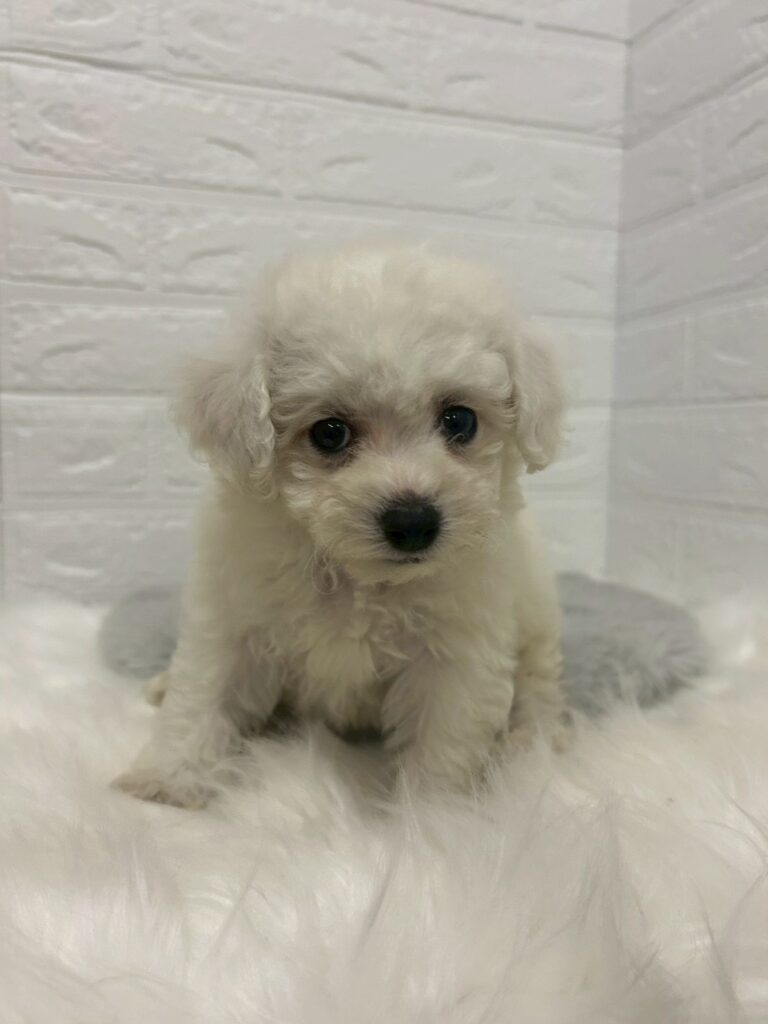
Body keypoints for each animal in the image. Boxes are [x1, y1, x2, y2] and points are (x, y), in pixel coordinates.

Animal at [114, 242, 568, 808]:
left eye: (460, 420)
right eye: (329, 433)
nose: (413, 521)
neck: (360, 579)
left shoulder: (457, 652)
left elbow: (442, 741)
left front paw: (432, 816)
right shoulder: (232, 616)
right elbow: (203, 693)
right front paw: (169, 780)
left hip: (538, 622)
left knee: (539, 687)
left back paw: (531, 742)